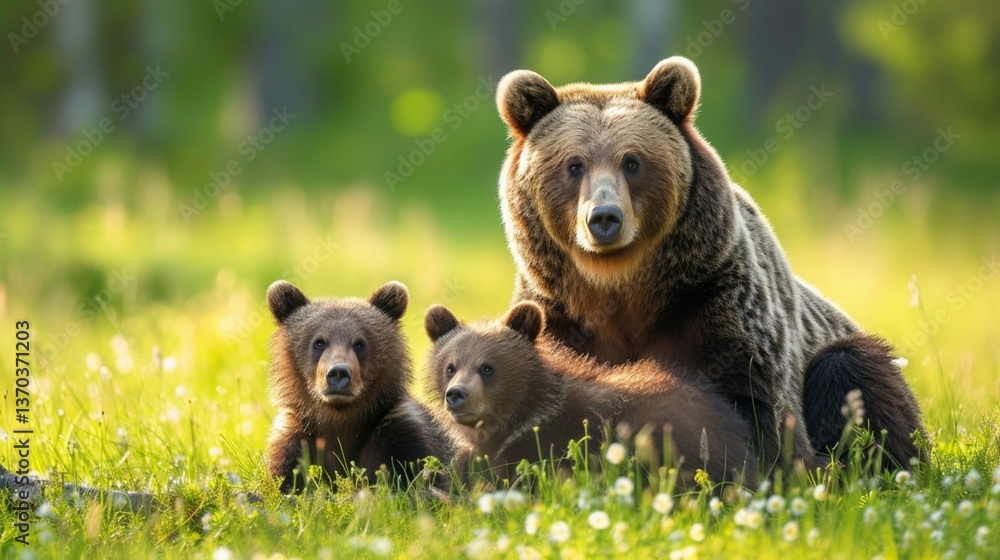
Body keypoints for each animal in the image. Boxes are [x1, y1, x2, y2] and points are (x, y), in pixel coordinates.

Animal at [264, 280, 452, 493]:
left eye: (359, 343)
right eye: (319, 342)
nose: (338, 373)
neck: (341, 418)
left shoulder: (398, 434)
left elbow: (418, 469)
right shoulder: (297, 438)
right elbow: (286, 477)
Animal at [494, 56, 927, 472]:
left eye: (632, 162)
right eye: (574, 164)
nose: (604, 218)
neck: (619, 286)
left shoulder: (716, 300)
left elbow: (750, 408)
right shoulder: (555, 312)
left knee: (853, 372)